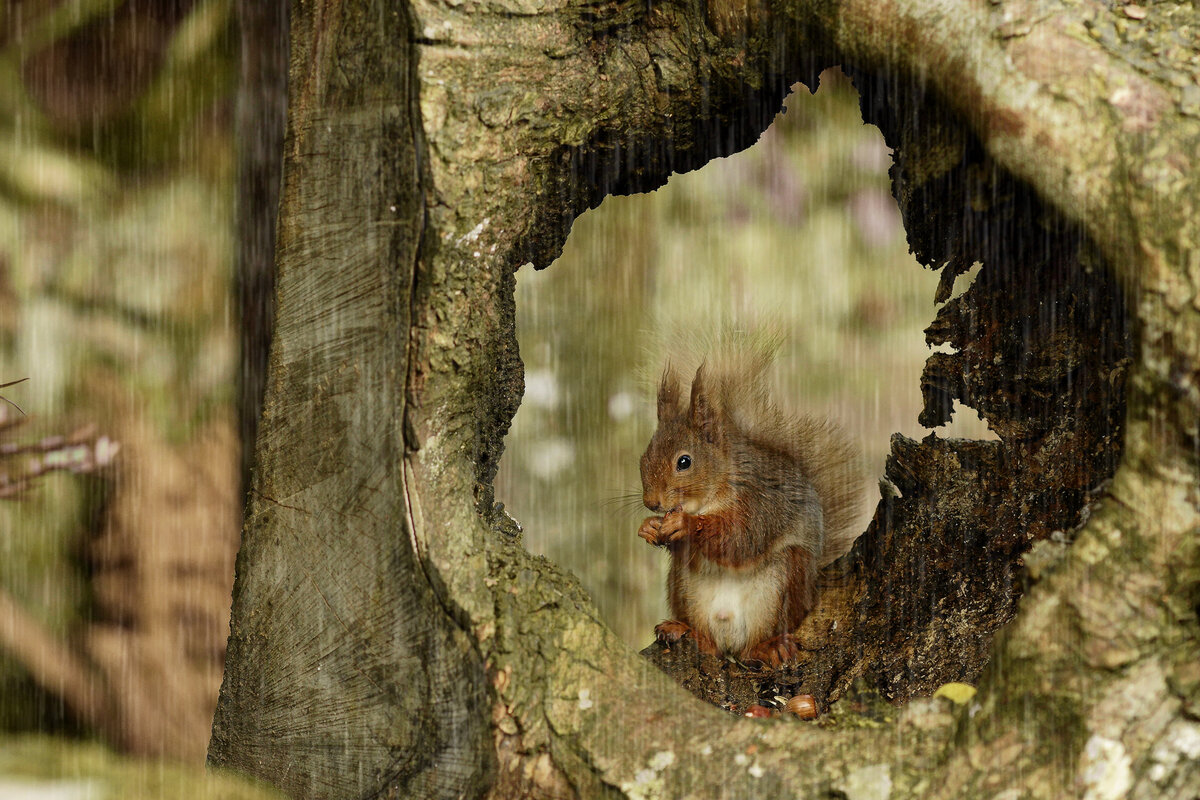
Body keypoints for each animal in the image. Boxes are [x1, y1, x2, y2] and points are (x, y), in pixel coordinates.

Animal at [638, 350, 864, 671]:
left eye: (684, 462)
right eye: (644, 458)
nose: (652, 503)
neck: (712, 493)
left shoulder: (761, 503)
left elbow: (741, 539)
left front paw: (685, 524)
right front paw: (648, 526)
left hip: (782, 583)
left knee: (749, 648)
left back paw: (767, 648)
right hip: (684, 587)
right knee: (713, 648)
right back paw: (683, 630)